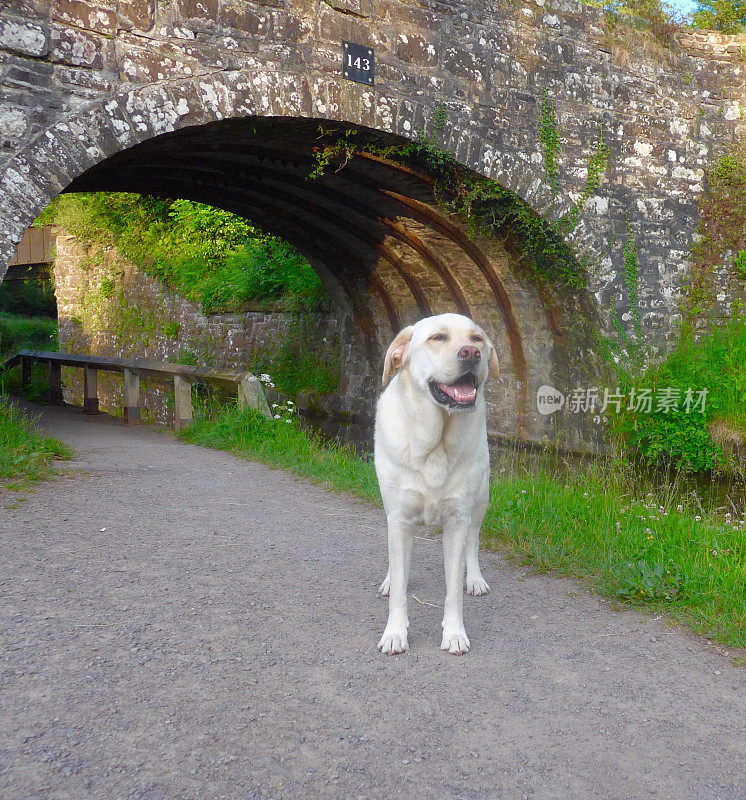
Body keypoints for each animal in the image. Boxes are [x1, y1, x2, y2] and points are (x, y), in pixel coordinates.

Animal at [374, 312, 496, 656]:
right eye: (438, 338)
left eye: (477, 338)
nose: (471, 353)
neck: (436, 443)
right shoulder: (399, 517)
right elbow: (400, 589)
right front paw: (395, 633)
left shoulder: (457, 520)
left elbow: (452, 589)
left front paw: (454, 634)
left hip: (480, 499)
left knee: (473, 540)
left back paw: (475, 579)